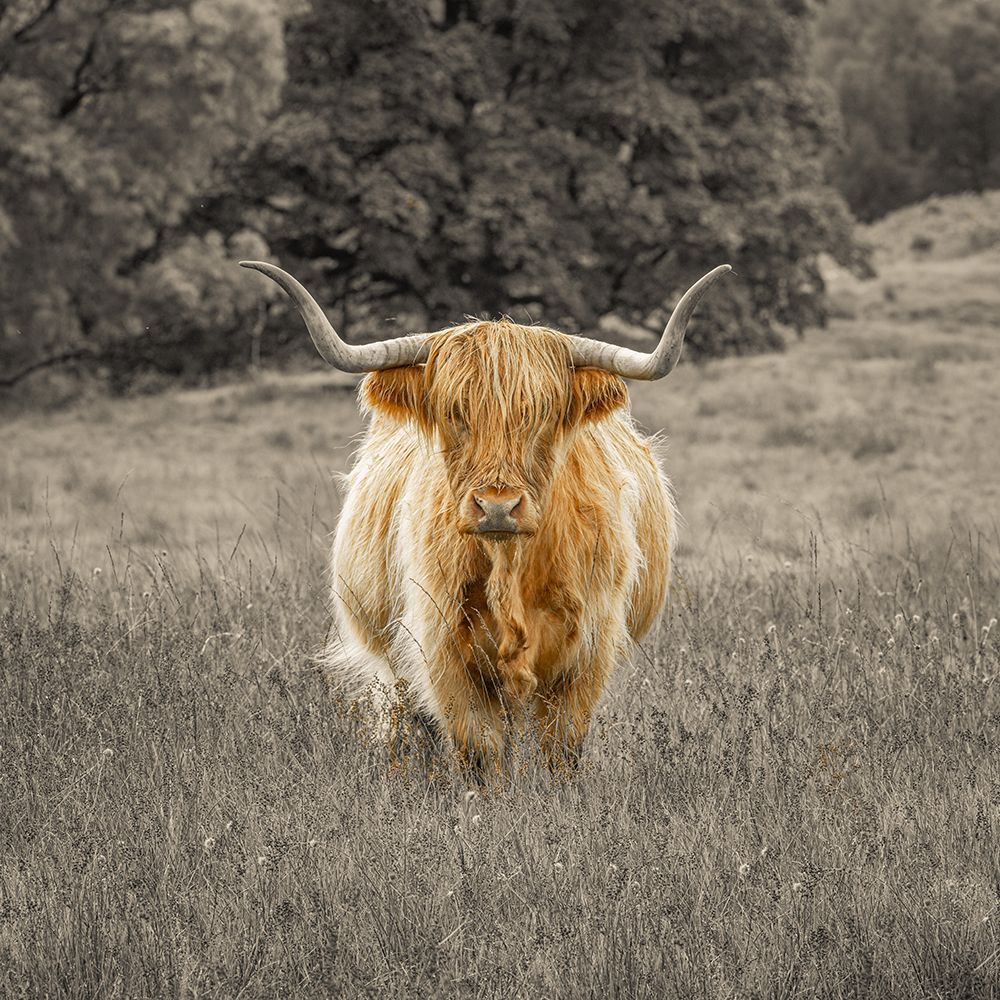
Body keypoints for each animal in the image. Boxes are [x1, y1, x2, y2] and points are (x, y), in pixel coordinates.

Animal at [241, 259, 730, 773]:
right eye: (456, 414)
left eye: (541, 416)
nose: (498, 506)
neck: (511, 569)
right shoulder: (442, 652)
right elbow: (479, 750)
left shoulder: (587, 654)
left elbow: (561, 750)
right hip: (394, 664)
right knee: (406, 728)